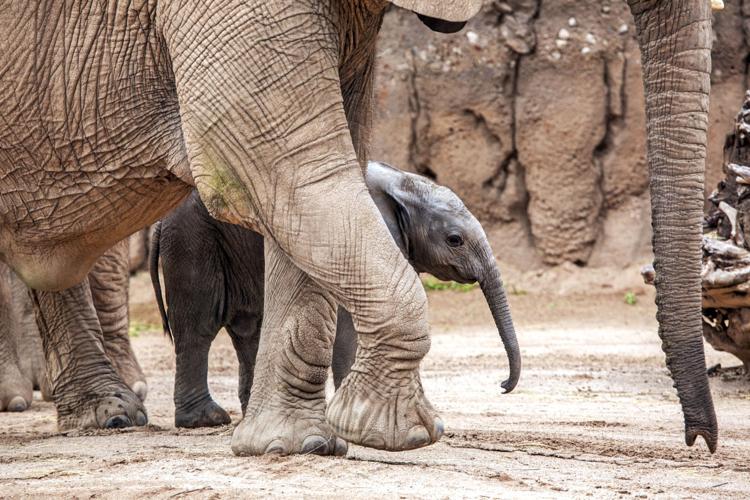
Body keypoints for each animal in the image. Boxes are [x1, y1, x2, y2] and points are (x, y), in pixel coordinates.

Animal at [149, 160, 519, 429]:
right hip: (193, 241)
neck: (403, 183)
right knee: (199, 327)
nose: (502, 385)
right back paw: (206, 420)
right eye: (455, 240)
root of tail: (159, 222)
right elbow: (351, 319)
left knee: (249, 327)